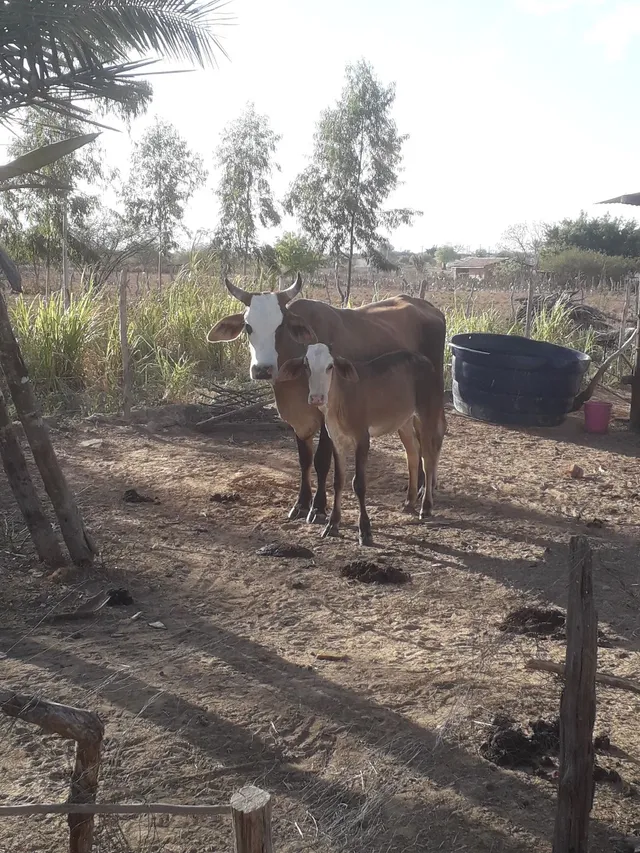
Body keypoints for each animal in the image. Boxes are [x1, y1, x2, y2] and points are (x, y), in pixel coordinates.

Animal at [207, 274, 446, 524]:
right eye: (248, 326)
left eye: (280, 326)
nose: (263, 369)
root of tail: (430, 308)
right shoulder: (300, 421)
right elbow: (304, 460)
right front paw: (301, 504)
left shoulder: (328, 419)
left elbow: (321, 461)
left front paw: (318, 508)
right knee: (415, 445)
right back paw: (415, 492)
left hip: (431, 400)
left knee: (434, 437)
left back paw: (426, 491)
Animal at [278, 340, 445, 545]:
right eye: (306, 365)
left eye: (330, 366)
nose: (316, 397)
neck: (340, 399)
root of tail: (425, 361)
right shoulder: (337, 440)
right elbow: (338, 481)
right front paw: (332, 524)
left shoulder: (362, 438)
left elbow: (359, 483)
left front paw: (365, 531)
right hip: (404, 421)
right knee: (413, 454)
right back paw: (409, 501)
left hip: (427, 412)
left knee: (428, 458)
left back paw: (426, 506)